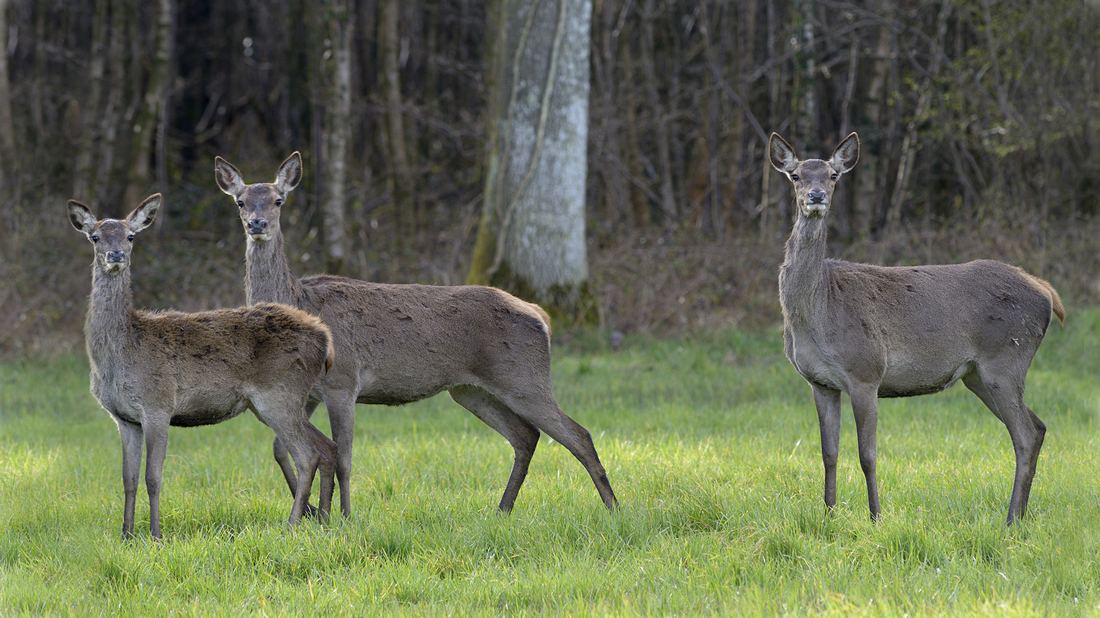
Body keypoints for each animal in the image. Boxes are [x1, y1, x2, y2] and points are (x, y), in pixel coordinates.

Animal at [67, 193, 338, 538]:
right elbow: (128, 479)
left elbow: (153, 477)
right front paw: (126, 535)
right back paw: (325, 520)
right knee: (327, 447)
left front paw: (155, 535)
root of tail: (325, 339)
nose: (115, 255)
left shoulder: (158, 405)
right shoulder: (124, 418)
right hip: (280, 401)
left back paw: (291, 525)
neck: (121, 354)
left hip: (278, 394)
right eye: (95, 236)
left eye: (130, 236)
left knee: (307, 455)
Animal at [210, 152, 616, 514]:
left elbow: (343, 457)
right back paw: (503, 509)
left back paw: (613, 508)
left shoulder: (344, 381)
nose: (257, 223)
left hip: (523, 376)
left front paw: (345, 517)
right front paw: (311, 510)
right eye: (241, 201)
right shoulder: (307, 392)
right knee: (525, 435)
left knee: (578, 434)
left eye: (278, 200)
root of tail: (541, 315)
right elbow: (282, 450)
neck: (299, 299)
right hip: (469, 389)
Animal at [770, 132, 1060, 521]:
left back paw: (1011, 519)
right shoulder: (821, 383)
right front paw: (828, 514)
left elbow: (867, 455)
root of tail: (1046, 293)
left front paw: (875, 517)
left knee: (1025, 434)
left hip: (1006, 359)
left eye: (833, 175)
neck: (818, 312)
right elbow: (828, 454)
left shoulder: (866, 373)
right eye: (796, 176)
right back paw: (1020, 515)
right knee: (1039, 427)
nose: (816, 196)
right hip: (978, 375)